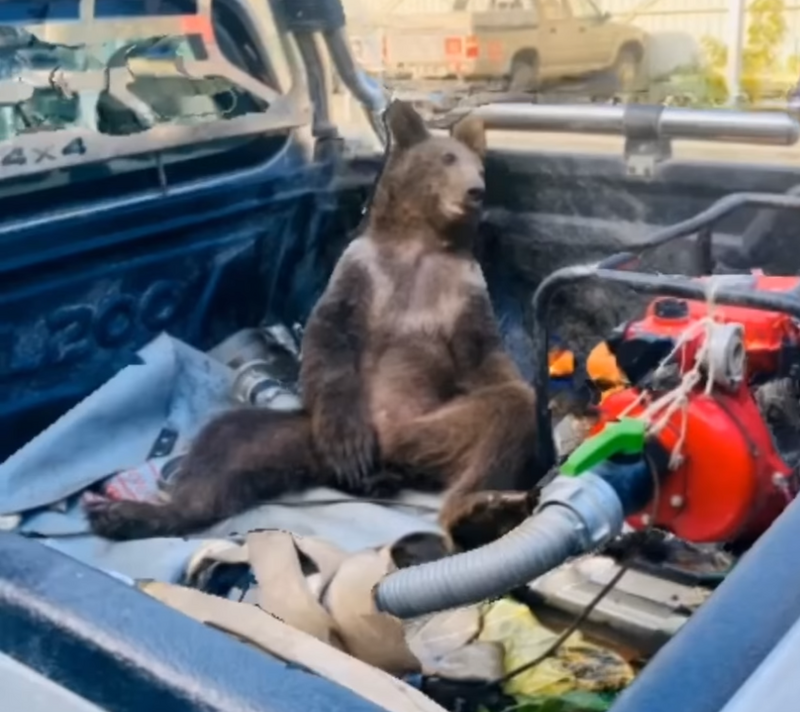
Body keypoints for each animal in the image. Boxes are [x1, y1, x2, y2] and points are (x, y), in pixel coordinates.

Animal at [86, 100, 544, 548]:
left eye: (478, 167)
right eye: (447, 158)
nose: (475, 190)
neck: (421, 244)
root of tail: (392, 459)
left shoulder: (461, 289)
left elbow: (484, 354)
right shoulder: (360, 270)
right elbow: (330, 335)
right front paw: (349, 442)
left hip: (430, 427)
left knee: (505, 416)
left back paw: (478, 510)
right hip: (303, 434)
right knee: (224, 445)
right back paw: (129, 514)